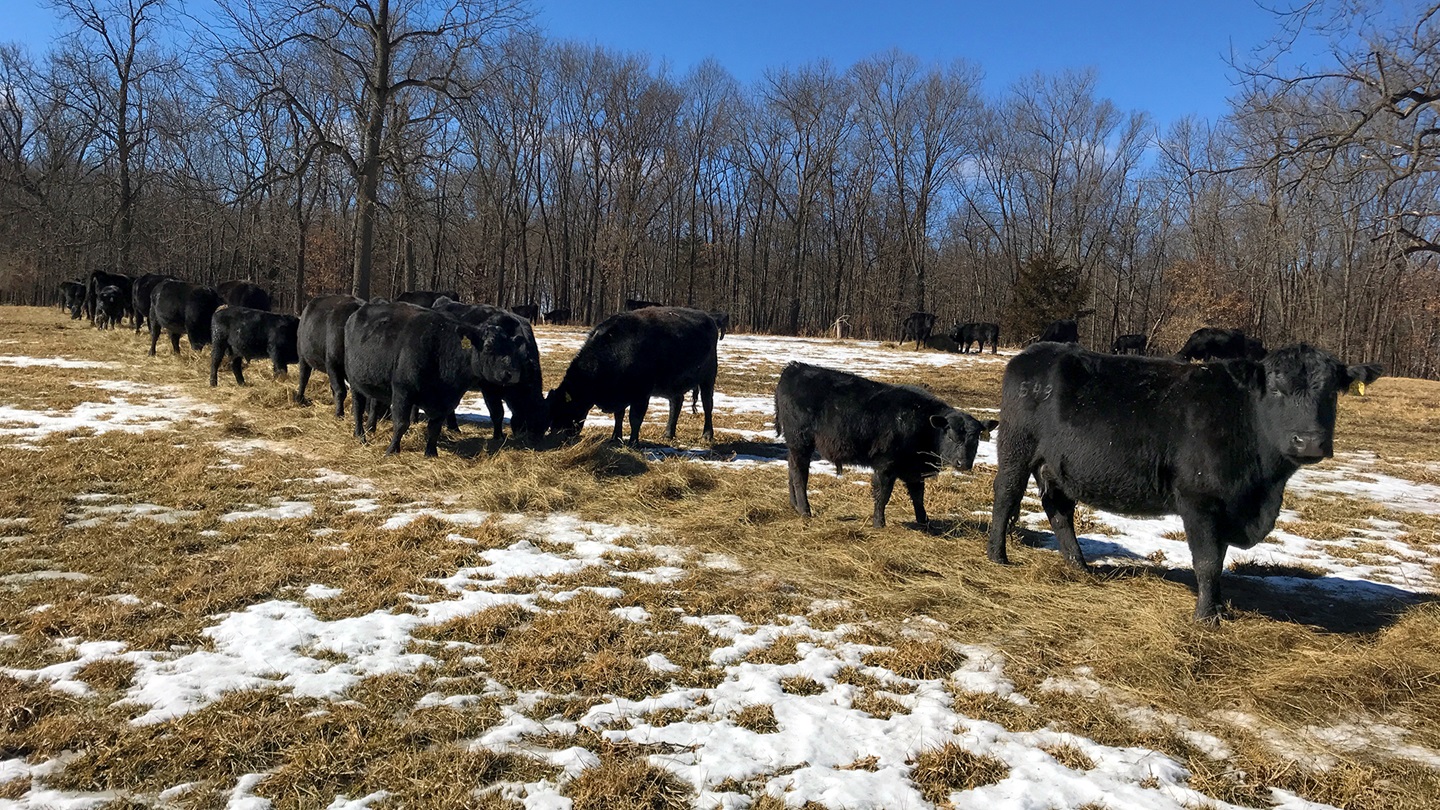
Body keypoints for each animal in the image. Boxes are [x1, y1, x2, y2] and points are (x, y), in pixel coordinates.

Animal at [343, 302, 524, 456]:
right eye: (488, 346)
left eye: (513, 348)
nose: (512, 373)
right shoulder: (403, 390)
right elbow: (401, 423)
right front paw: (392, 450)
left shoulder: (446, 402)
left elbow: (434, 427)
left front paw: (431, 453)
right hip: (354, 383)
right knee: (358, 408)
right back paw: (360, 435)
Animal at [546, 306, 719, 446]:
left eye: (564, 409)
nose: (557, 436)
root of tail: (709, 318)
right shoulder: (620, 395)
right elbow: (619, 416)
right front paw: (615, 437)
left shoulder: (641, 395)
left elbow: (635, 418)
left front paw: (633, 442)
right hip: (674, 385)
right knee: (676, 403)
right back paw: (668, 434)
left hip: (708, 378)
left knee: (707, 404)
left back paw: (707, 435)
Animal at [775, 362, 996, 529]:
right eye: (950, 435)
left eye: (976, 438)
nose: (963, 463)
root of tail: (794, 367)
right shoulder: (885, 466)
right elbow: (883, 495)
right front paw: (879, 523)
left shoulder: (914, 470)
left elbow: (918, 496)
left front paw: (924, 522)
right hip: (801, 442)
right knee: (800, 475)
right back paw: (805, 510)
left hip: (795, 445)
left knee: (791, 468)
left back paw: (795, 505)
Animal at [987, 342, 1383, 622]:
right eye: (1277, 390)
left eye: (1330, 392)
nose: (1309, 441)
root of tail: (1035, 352)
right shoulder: (1199, 500)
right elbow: (1207, 561)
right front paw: (1207, 618)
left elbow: (1219, 559)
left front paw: (1218, 607)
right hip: (1016, 448)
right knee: (1006, 496)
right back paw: (998, 556)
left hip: (1058, 468)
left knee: (1060, 511)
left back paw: (1079, 566)